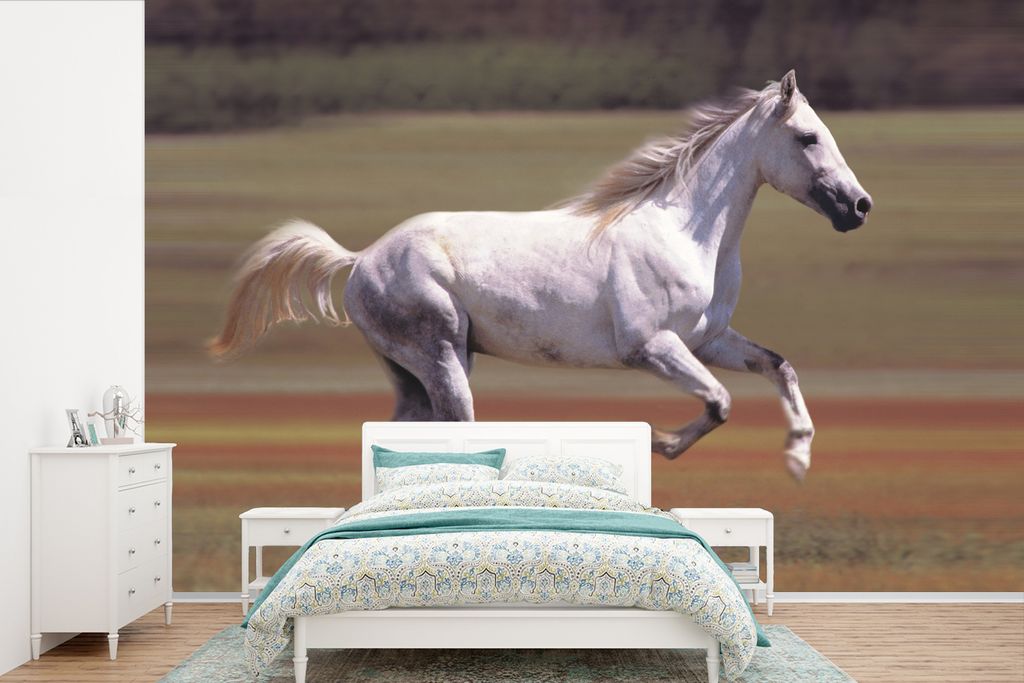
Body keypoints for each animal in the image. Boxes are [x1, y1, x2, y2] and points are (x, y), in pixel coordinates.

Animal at [209, 70, 872, 481]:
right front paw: (658, 443)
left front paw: (798, 458)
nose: (859, 207)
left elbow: (777, 367)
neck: (685, 230)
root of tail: (361, 257)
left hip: (415, 373)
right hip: (442, 358)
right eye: (807, 137)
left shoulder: (710, 340)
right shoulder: (651, 348)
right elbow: (720, 401)